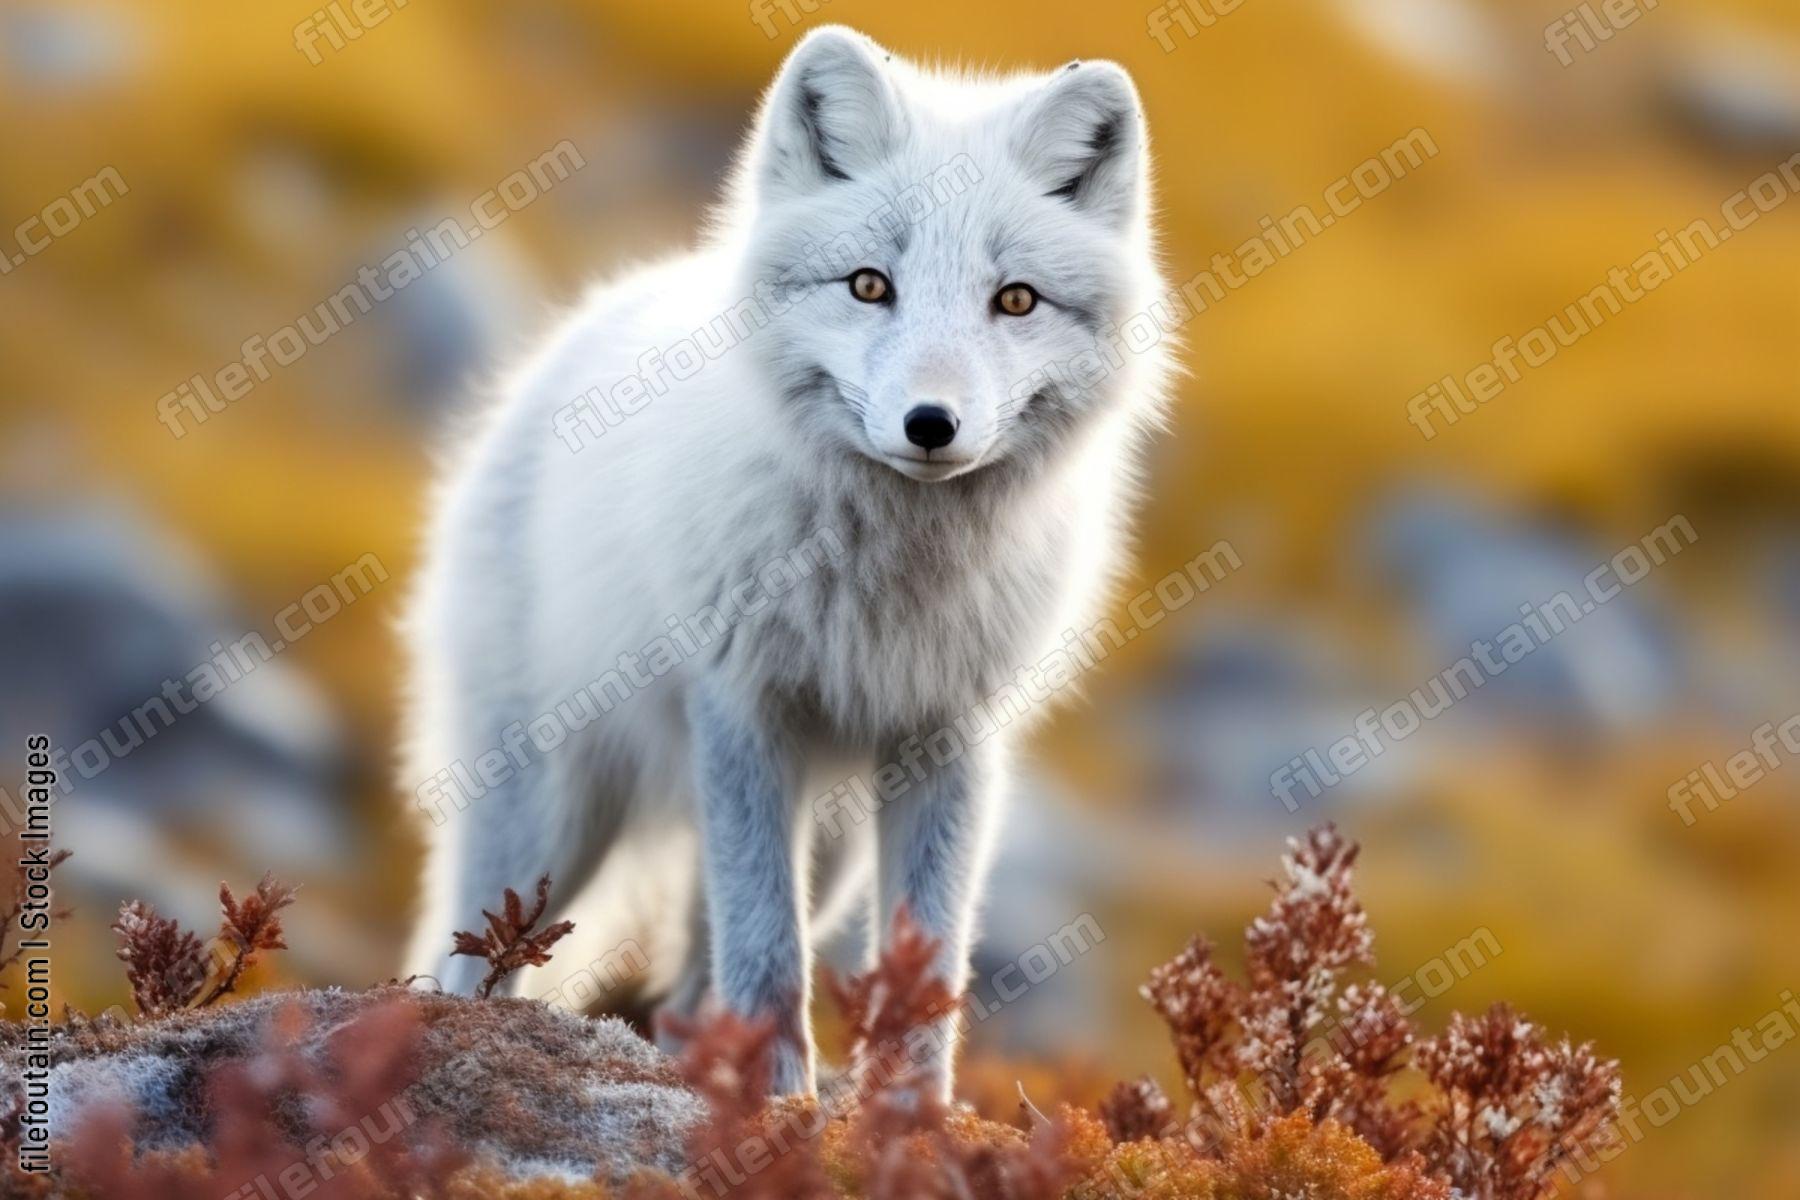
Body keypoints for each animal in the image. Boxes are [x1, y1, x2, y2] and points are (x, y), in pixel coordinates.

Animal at [404, 25, 1171, 1099]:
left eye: (1015, 300)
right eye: (869, 285)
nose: (930, 424)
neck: (894, 576)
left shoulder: (951, 734)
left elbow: (927, 957)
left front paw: (907, 1116)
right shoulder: (742, 705)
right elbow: (766, 945)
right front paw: (778, 1105)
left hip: (834, 843)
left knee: (688, 987)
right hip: (547, 813)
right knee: (476, 954)